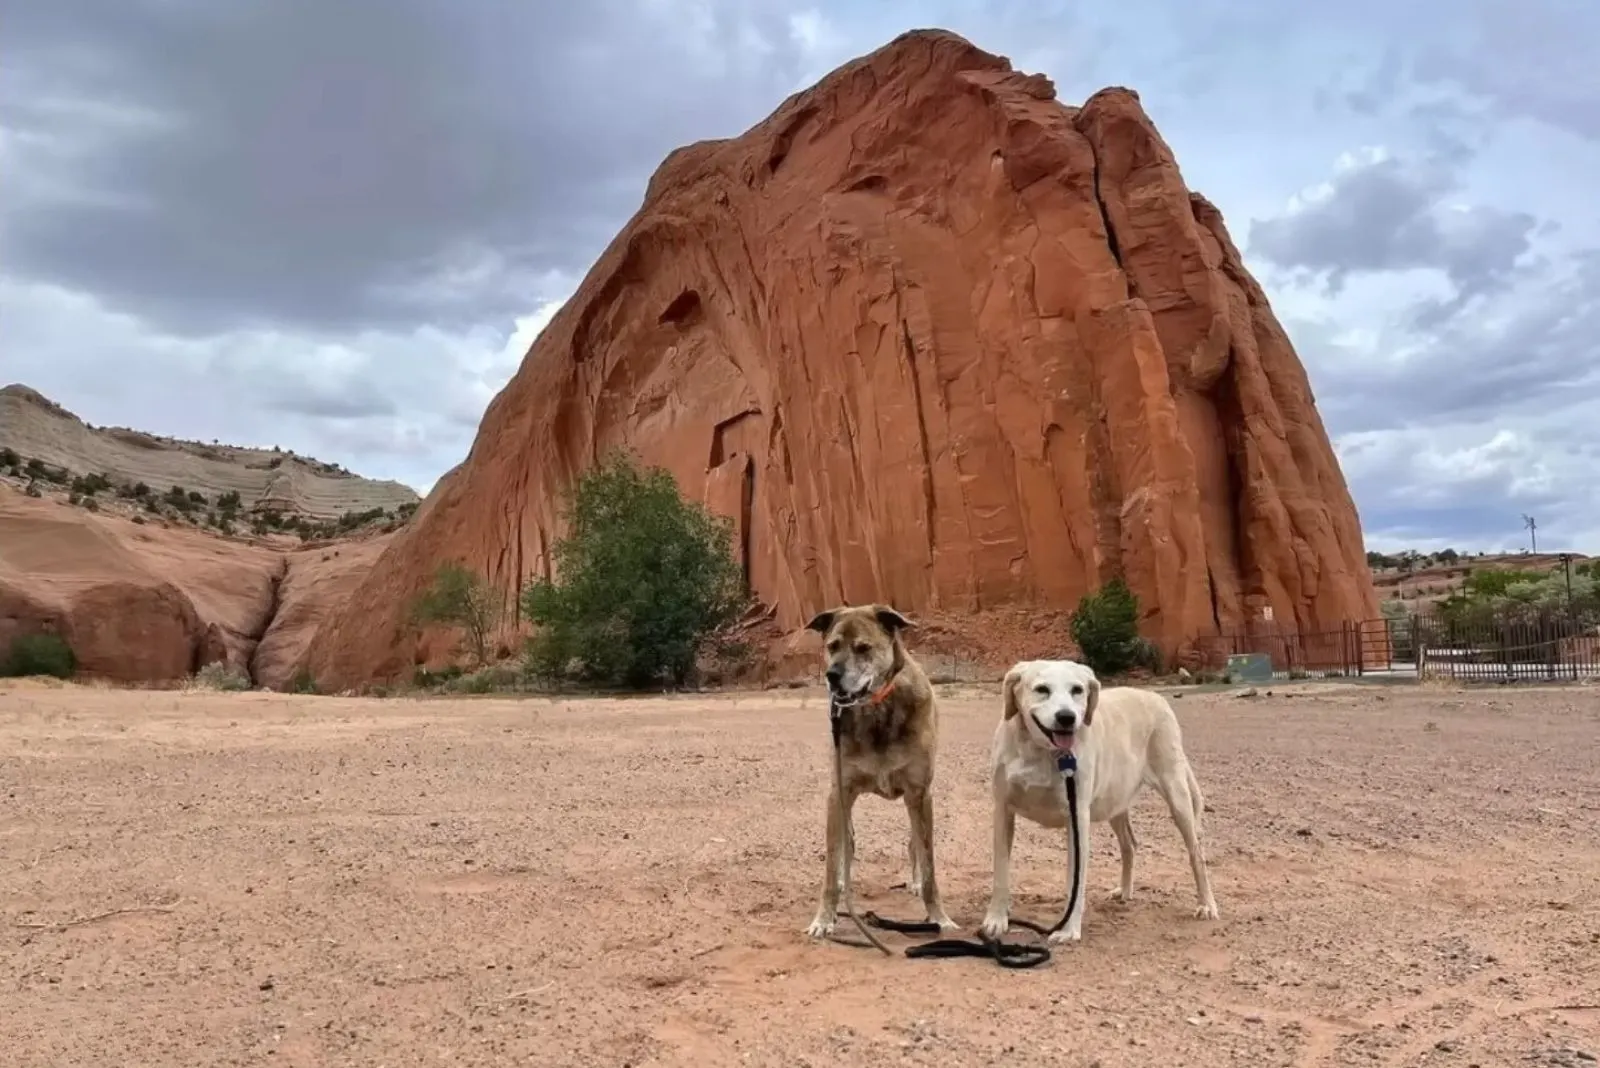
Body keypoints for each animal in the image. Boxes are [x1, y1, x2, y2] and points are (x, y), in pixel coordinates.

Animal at [806, 604, 953, 940]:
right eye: (831, 646)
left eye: (863, 648)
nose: (832, 676)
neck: (876, 708)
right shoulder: (839, 794)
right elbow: (831, 866)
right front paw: (824, 918)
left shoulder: (919, 794)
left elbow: (929, 867)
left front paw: (939, 917)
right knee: (846, 846)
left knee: (914, 846)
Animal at [972, 658, 1222, 940]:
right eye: (1042, 689)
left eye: (1077, 690)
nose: (1067, 717)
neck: (1040, 751)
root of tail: (1155, 696)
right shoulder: (1003, 811)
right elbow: (1001, 873)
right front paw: (996, 919)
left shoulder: (1077, 818)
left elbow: (1075, 881)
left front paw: (1069, 929)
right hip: (1115, 803)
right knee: (1129, 845)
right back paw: (1124, 891)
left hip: (1177, 796)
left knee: (1196, 854)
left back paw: (1206, 904)